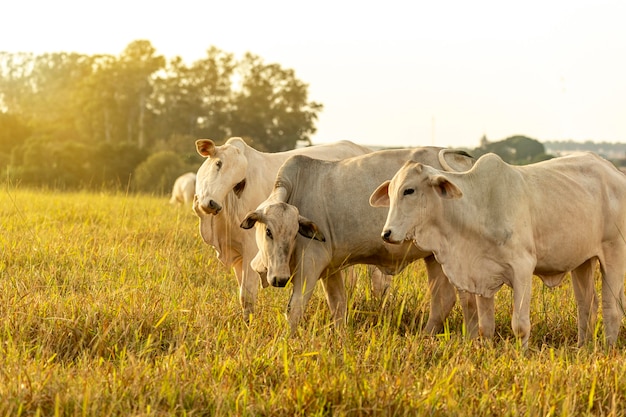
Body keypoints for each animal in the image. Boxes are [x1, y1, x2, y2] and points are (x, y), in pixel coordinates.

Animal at [191, 136, 386, 318]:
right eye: (218, 163)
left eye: (238, 183)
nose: (212, 204)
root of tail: (363, 148)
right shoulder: (237, 255)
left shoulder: (251, 249)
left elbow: (247, 295)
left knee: (379, 280)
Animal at [239, 147, 478, 334]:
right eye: (268, 231)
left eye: (294, 232)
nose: (279, 279)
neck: (297, 188)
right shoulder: (330, 270)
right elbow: (338, 305)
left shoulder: (311, 262)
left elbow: (295, 307)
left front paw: (287, 340)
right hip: (434, 258)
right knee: (443, 300)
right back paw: (426, 337)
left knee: (468, 300)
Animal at [368, 150, 624, 348]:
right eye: (390, 192)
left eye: (409, 190)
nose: (386, 234)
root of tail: (615, 173)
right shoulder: (481, 276)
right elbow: (485, 327)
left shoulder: (522, 268)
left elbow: (520, 324)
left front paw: (522, 355)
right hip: (582, 262)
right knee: (587, 307)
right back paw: (582, 348)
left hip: (614, 254)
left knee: (611, 308)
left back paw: (606, 350)